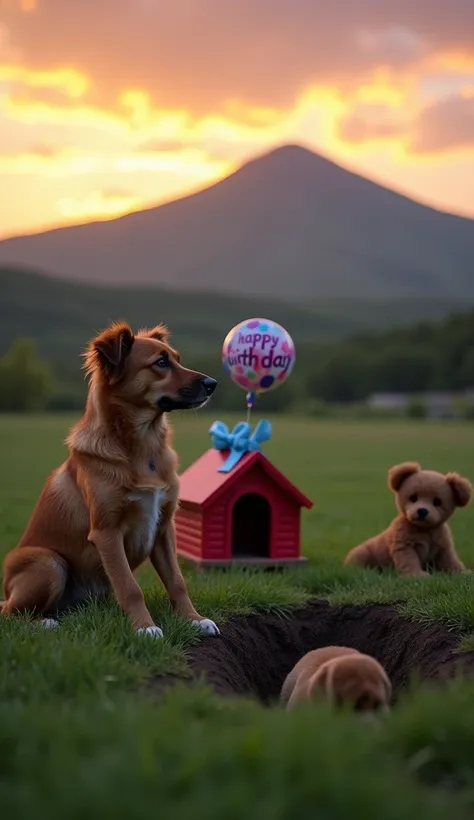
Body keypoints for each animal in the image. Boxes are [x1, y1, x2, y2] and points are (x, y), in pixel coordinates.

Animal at [0, 324, 219, 636]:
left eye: (177, 359)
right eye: (160, 362)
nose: (213, 383)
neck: (142, 447)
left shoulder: (164, 527)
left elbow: (177, 581)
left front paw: (194, 619)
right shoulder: (106, 533)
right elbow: (130, 587)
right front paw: (145, 628)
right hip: (48, 562)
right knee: (10, 613)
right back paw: (44, 622)